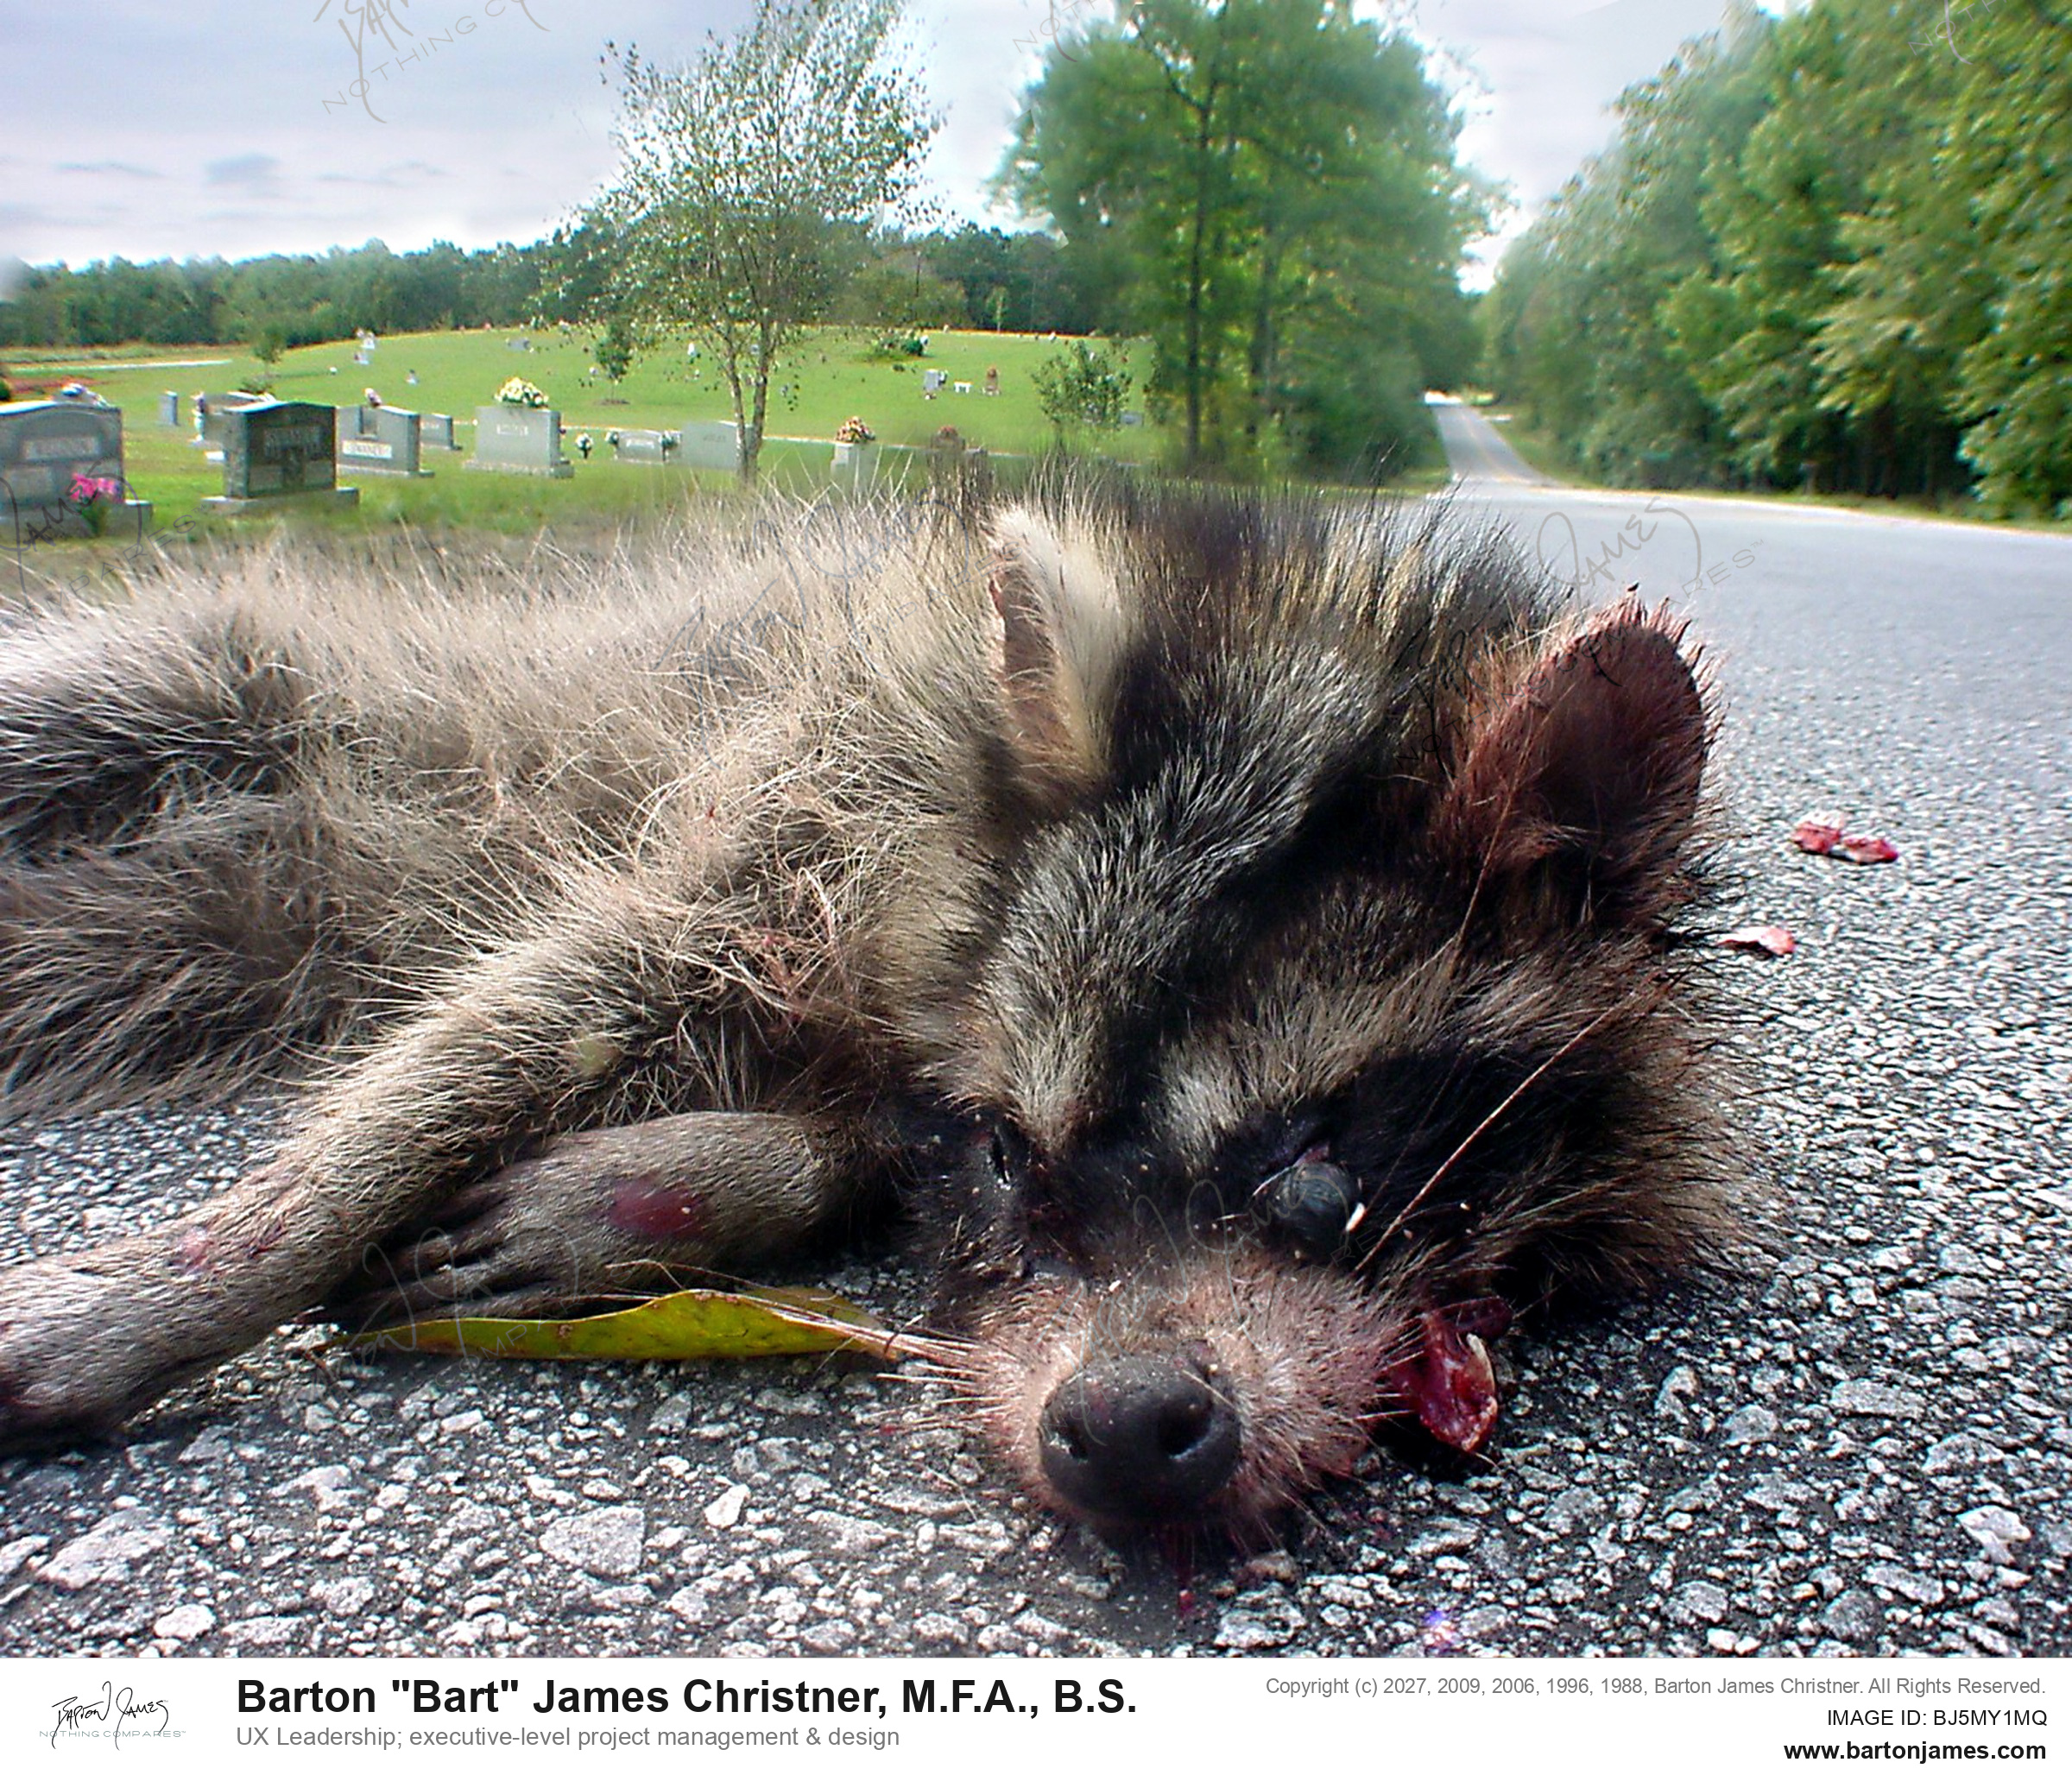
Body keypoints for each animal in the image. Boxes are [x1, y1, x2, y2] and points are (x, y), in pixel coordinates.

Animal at [0, 483, 1730, 1535]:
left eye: (1321, 1162)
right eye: (1015, 1157)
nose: (1124, 1424)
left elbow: (826, 1126)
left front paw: (692, 1180)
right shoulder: (802, 796)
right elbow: (558, 982)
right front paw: (231, 1250)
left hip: (232, 908)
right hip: (284, 690)